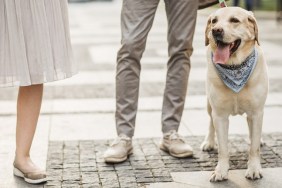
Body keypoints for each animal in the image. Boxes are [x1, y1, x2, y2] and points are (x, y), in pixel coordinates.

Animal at [200, 7, 268, 182]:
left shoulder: (256, 112)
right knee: (210, 122)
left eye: (234, 20)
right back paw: (209, 142)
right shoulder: (220, 115)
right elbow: (223, 148)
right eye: (214, 21)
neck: (235, 67)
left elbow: (254, 147)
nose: (216, 31)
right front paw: (221, 171)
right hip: (209, 104)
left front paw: (254, 169)